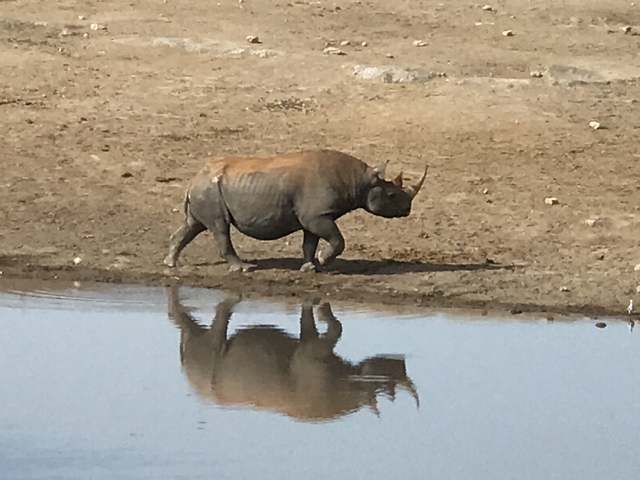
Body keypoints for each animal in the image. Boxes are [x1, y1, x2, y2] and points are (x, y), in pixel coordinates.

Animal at [164, 149, 428, 272]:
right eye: (392, 195)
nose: (407, 209)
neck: (360, 181)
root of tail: (193, 179)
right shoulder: (317, 215)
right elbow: (337, 240)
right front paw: (322, 260)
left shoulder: (316, 214)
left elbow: (309, 242)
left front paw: (311, 266)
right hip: (210, 190)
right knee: (220, 227)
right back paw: (245, 268)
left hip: (207, 189)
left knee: (193, 225)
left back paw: (171, 263)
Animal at [166, 285, 419, 422]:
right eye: (384, 378)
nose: (399, 361)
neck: (354, 387)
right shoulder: (312, 352)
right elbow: (336, 329)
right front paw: (322, 310)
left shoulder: (309, 348)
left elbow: (308, 324)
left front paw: (319, 310)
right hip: (205, 370)